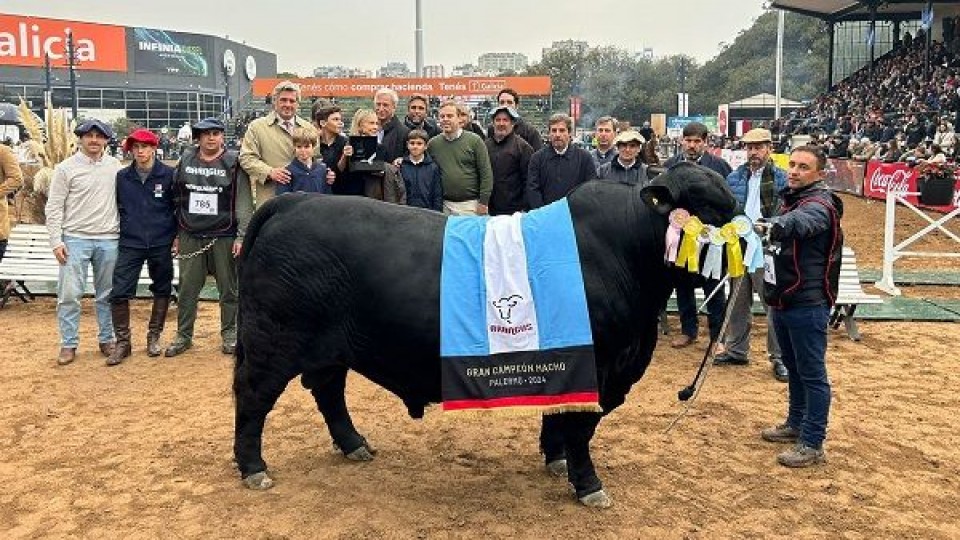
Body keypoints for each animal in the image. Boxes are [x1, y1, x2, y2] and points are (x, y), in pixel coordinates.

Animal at [232, 162, 736, 508]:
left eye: (731, 206)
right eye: (706, 210)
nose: (741, 245)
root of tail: (296, 201)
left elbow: (558, 420)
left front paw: (555, 461)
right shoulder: (598, 367)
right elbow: (580, 429)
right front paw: (588, 485)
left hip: (330, 349)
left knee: (328, 391)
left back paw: (354, 444)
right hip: (273, 341)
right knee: (254, 396)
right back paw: (253, 467)